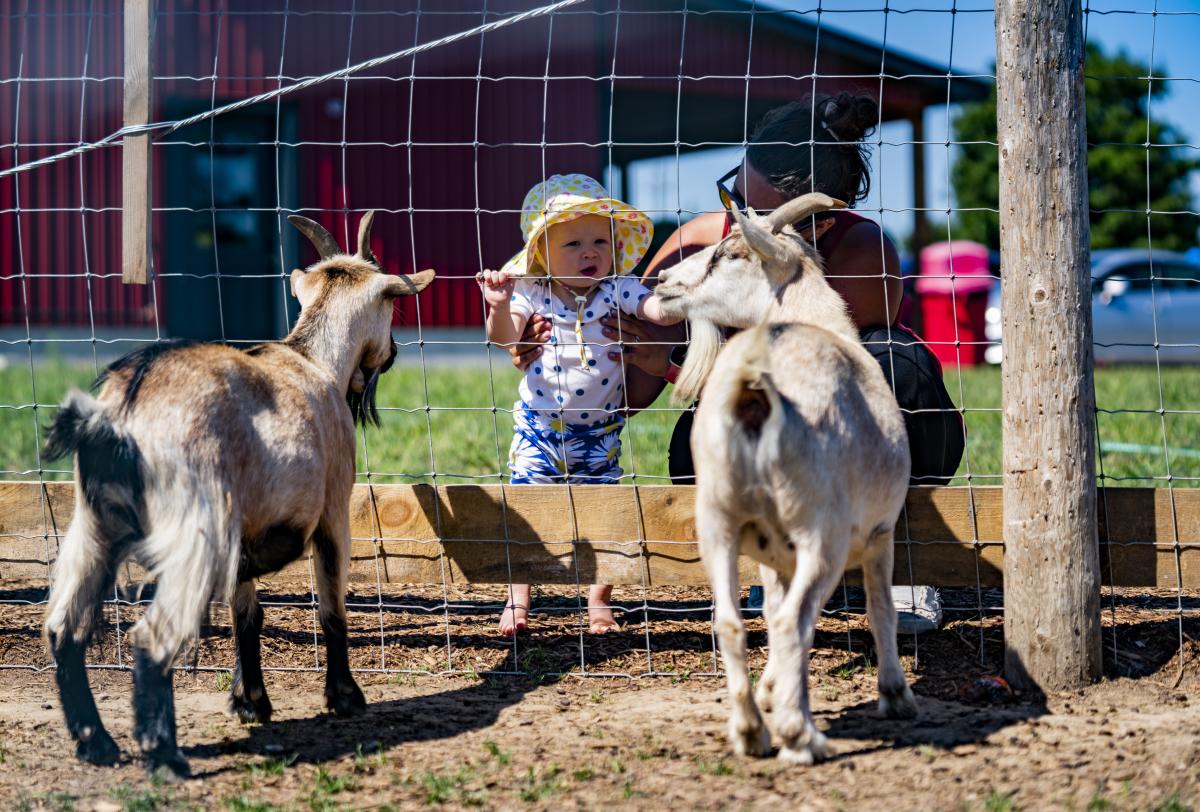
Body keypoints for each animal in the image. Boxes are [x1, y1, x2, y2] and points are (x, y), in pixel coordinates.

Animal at [41, 212, 433, 778]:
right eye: (391, 306)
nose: (396, 351)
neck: (312, 358)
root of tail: (123, 407)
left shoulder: (244, 533)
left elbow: (247, 615)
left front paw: (250, 701)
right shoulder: (333, 509)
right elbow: (331, 607)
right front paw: (344, 697)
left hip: (94, 525)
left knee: (65, 629)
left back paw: (98, 745)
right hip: (194, 529)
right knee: (151, 638)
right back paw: (163, 755)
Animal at [653, 193, 916, 764]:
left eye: (728, 254)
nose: (660, 282)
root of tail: (755, 383)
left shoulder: (771, 550)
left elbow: (770, 609)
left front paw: (774, 688)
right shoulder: (880, 531)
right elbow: (880, 610)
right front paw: (895, 695)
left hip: (719, 521)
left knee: (733, 622)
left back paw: (752, 731)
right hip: (823, 531)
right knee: (796, 621)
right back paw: (801, 737)